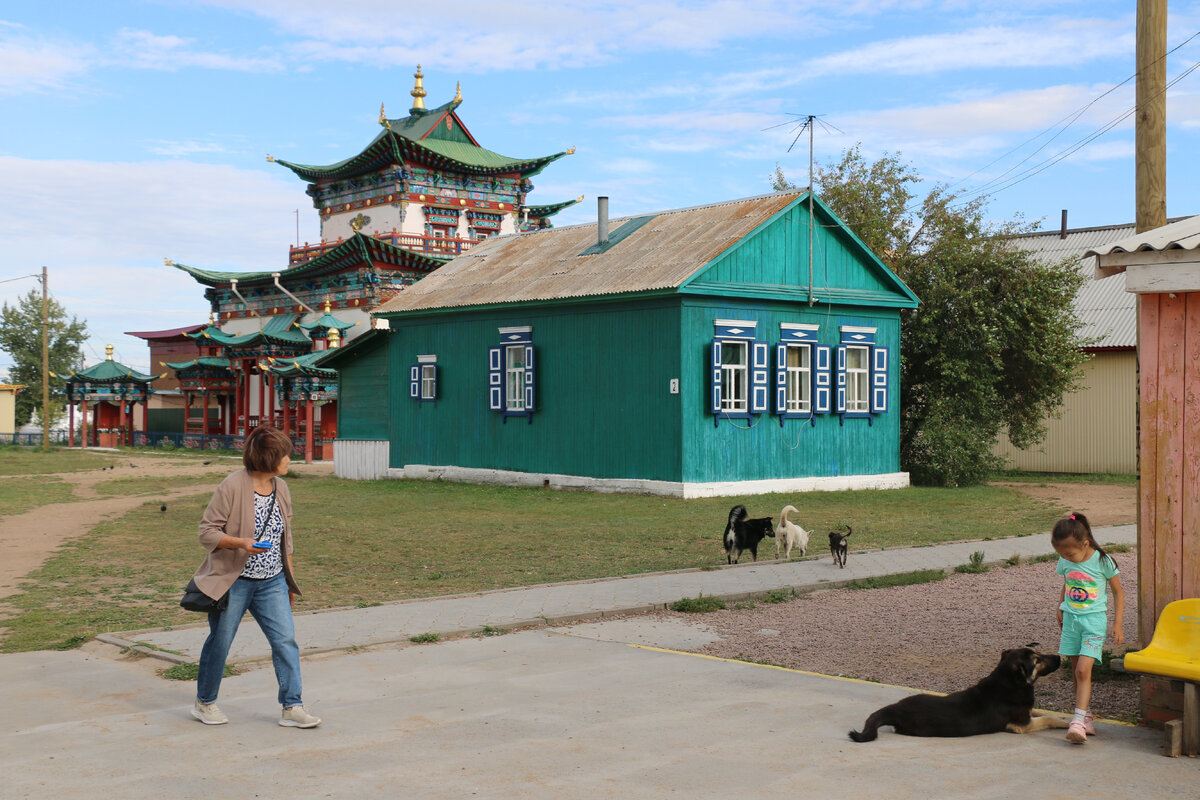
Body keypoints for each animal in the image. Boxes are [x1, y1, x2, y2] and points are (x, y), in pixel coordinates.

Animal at [849, 647, 1065, 743]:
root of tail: (896, 709)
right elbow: (1047, 718)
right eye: (1037, 660)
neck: (1010, 681)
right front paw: (1065, 724)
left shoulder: (1028, 712)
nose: (1059, 657)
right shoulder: (1022, 725)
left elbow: (1040, 711)